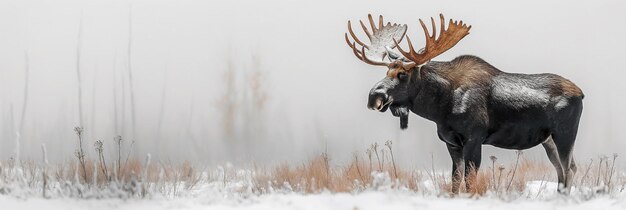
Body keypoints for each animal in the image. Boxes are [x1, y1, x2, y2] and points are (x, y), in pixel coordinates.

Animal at [344, 13, 584, 194]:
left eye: (402, 74)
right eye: (387, 71)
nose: (374, 96)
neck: (439, 108)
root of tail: (581, 94)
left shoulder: (474, 138)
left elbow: (469, 182)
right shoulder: (452, 143)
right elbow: (455, 181)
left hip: (564, 133)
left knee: (569, 168)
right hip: (548, 140)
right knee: (563, 170)